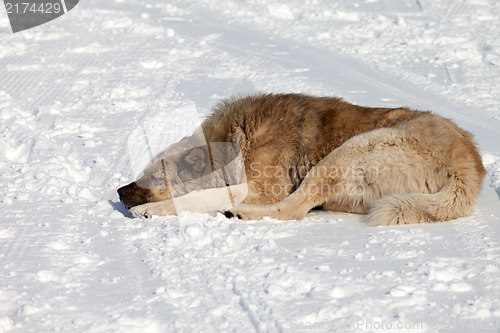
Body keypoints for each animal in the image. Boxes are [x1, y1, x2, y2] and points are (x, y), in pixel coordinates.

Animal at [116, 92, 484, 224]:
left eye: (153, 177)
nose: (119, 191)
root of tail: (468, 169)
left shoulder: (261, 189)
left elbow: (200, 195)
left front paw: (152, 210)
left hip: (349, 152)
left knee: (292, 209)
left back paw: (238, 213)